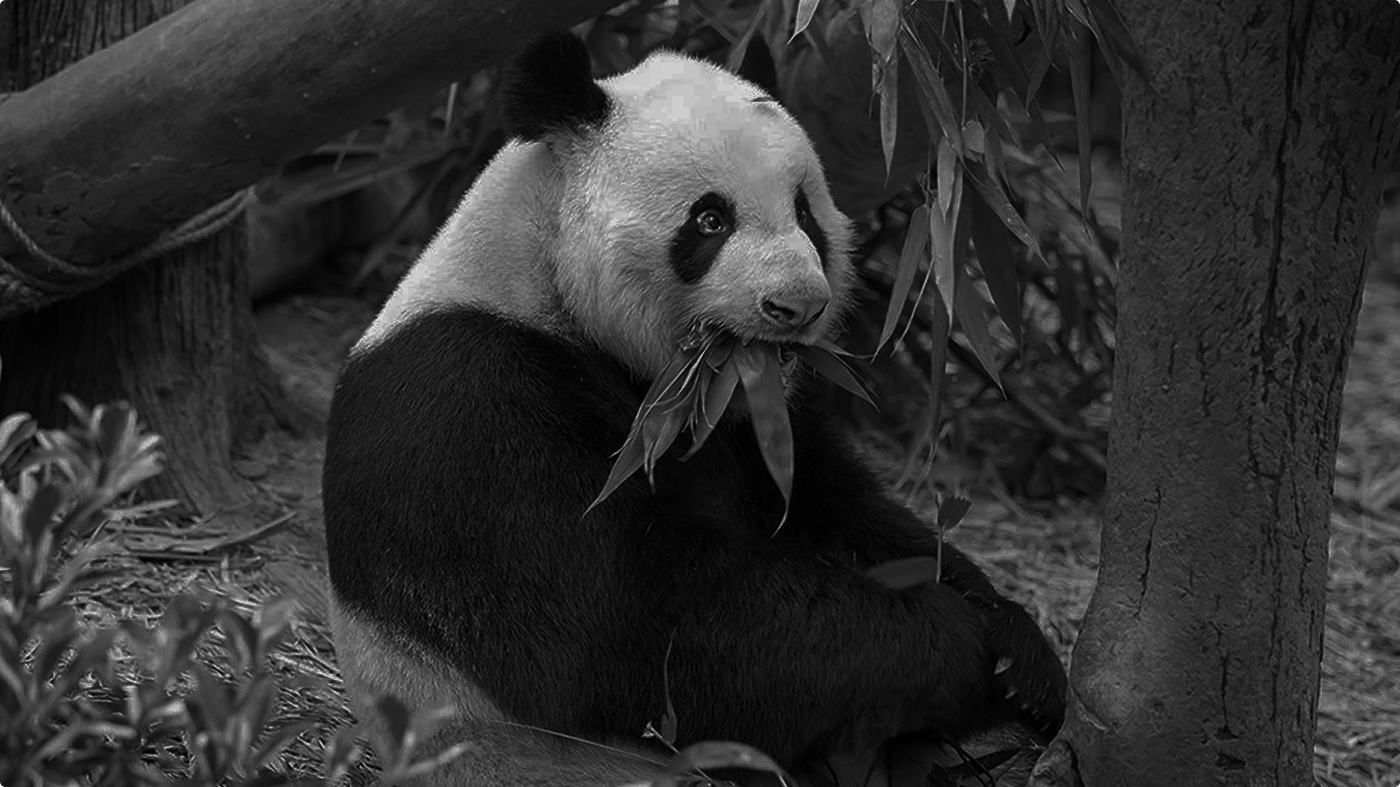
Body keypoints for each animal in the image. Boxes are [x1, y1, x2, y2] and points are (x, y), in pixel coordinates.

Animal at [322, 31, 1067, 787]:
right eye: (710, 219)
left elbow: (844, 513)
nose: (799, 305)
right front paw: (956, 642)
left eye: (805, 212)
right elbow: (648, 631)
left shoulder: (768, 422)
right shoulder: (473, 405)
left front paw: (1019, 654)